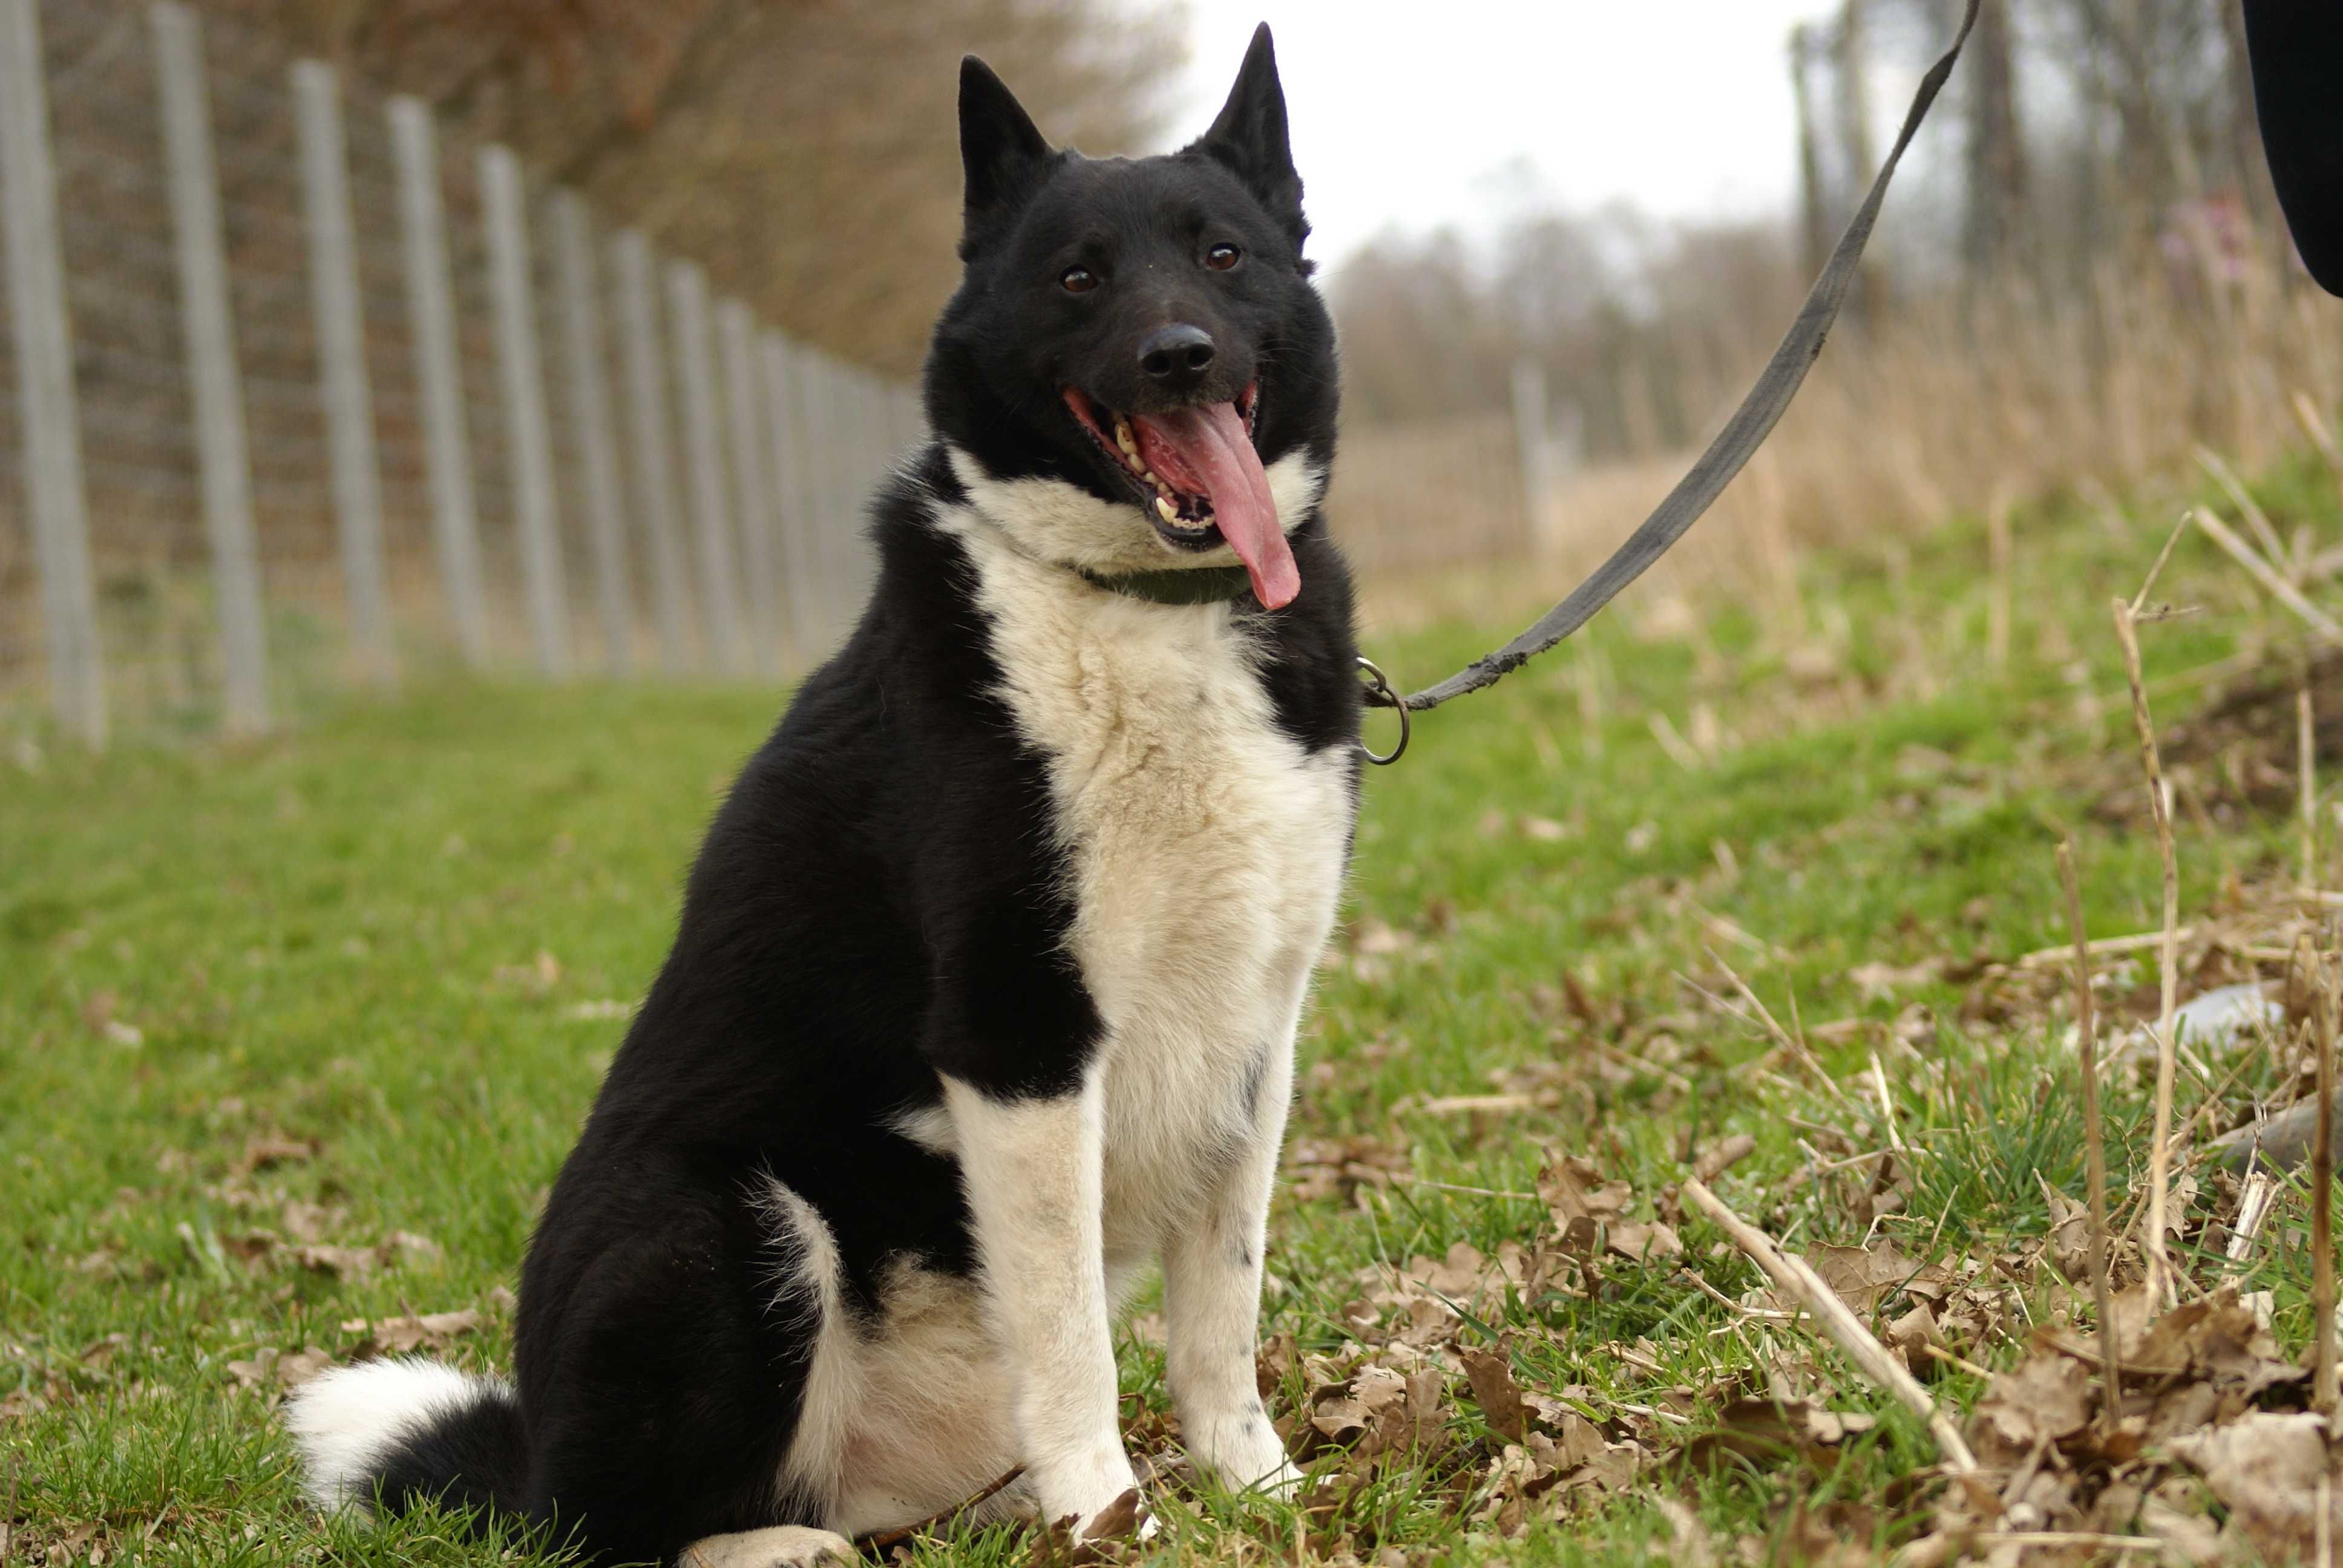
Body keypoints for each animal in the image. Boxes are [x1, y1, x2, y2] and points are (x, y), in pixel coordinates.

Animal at [286, 27, 1368, 1566]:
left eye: (1224, 254)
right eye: (1078, 276)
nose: (1183, 355)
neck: (1144, 605)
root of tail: (528, 1457)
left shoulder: (1255, 1035)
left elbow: (1220, 1304)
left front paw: (1252, 1486)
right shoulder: (1019, 1038)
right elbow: (1074, 1335)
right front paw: (1109, 1516)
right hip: (727, 1222)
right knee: (609, 1528)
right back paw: (790, 1545)